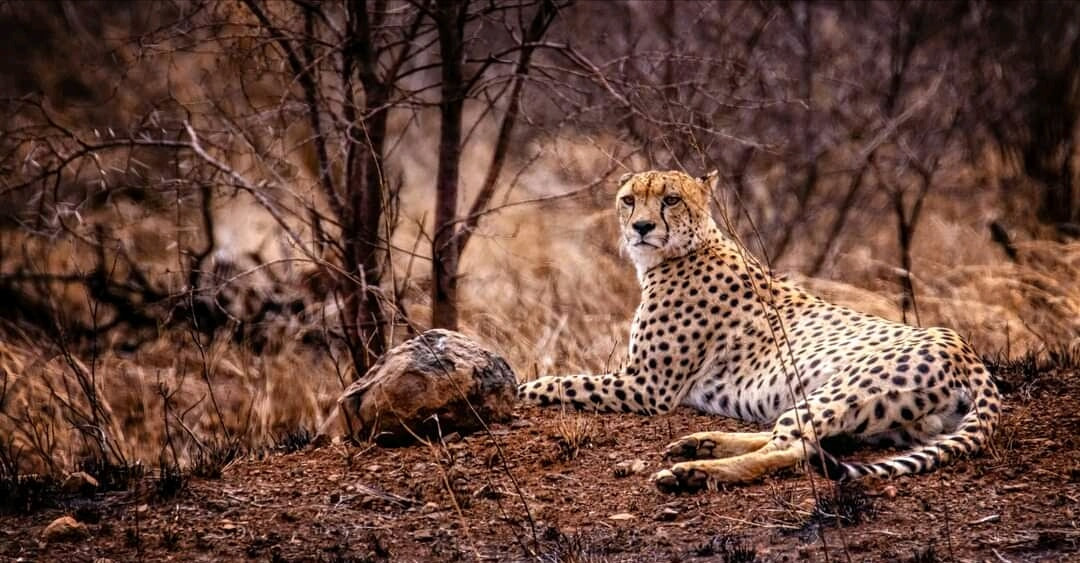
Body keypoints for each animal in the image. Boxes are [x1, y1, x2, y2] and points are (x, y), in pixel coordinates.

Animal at [517, 169, 1000, 493]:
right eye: (629, 200)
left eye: (670, 200)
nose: (641, 227)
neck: (688, 247)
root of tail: (964, 349)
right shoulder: (644, 383)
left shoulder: (647, 387)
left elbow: (560, 382)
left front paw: (524, 388)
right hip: (887, 421)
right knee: (798, 439)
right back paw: (701, 444)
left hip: (843, 389)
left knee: (792, 449)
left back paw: (695, 472)